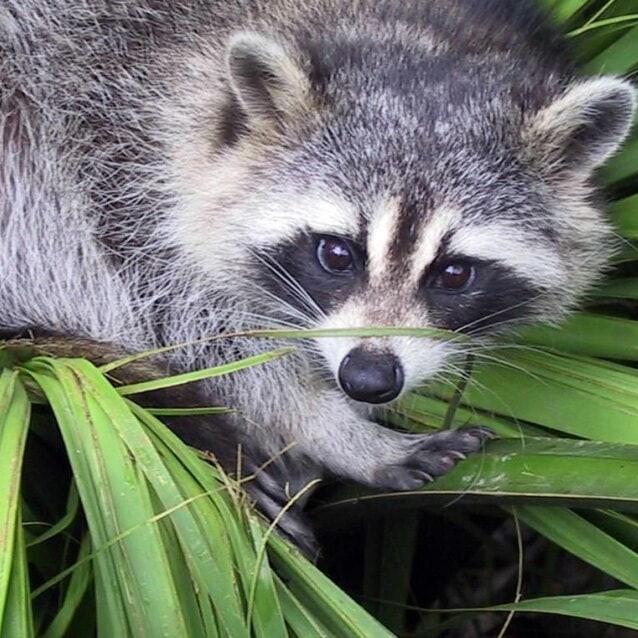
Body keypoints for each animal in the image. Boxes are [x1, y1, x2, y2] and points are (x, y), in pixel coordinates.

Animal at [0, 0, 636, 552]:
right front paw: (331, 429)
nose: (368, 379)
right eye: (336, 254)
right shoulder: (111, 141)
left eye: (455, 273)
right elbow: (195, 325)